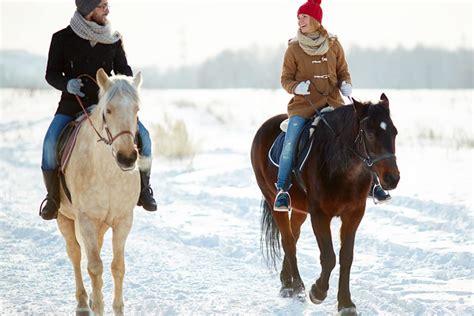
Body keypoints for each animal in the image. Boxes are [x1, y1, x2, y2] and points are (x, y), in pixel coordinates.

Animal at [57, 69, 143, 316]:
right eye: (108, 110)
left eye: (137, 110)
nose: (127, 158)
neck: (108, 173)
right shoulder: (86, 219)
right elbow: (94, 266)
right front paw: (97, 306)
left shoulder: (123, 220)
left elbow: (118, 266)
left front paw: (117, 308)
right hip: (64, 217)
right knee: (75, 254)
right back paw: (83, 302)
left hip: (101, 225)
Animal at [252, 94, 400, 316]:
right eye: (370, 134)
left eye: (394, 133)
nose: (392, 178)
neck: (342, 168)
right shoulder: (320, 215)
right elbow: (329, 256)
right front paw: (318, 292)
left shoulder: (354, 214)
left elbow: (346, 257)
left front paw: (346, 303)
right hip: (273, 200)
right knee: (288, 241)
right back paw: (297, 287)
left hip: (300, 209)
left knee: (293, 237)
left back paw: (286, 283)